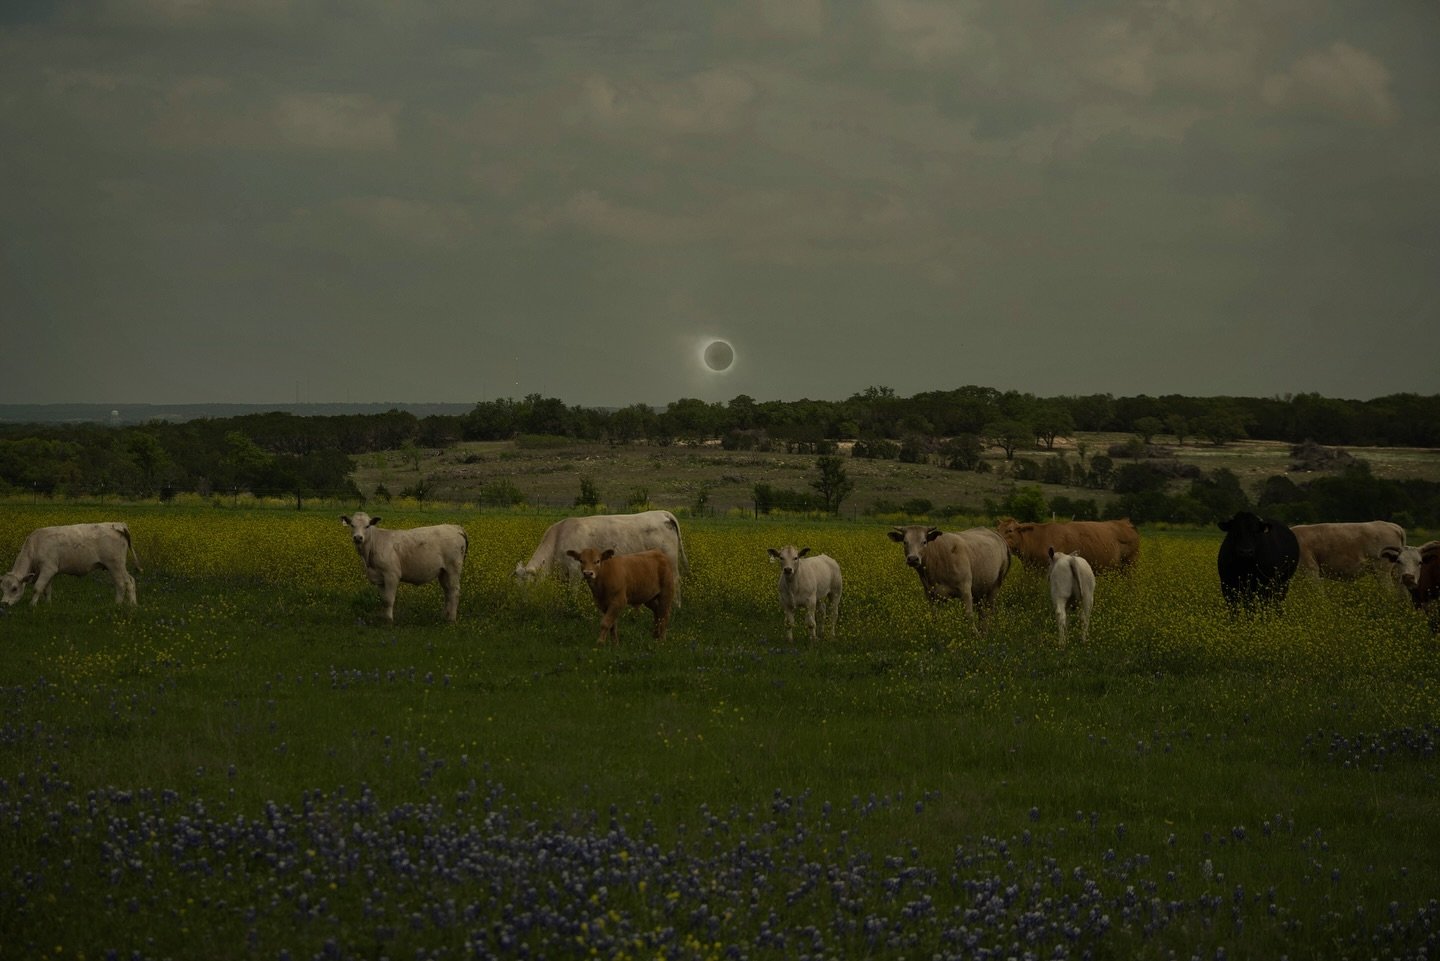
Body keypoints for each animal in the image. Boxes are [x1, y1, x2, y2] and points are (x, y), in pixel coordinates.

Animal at [0, 521, 140, 605]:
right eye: (2, 588)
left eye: (14, 588)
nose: (4, 603)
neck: (35, 545)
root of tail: (117, 525)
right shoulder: (50, 571)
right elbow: (47, 589)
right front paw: (48, 605)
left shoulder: (48, 568)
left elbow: (37, 588)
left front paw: (32, 605)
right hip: (118, 566)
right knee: (130, 580)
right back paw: (132, 605)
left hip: (115, 565)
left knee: (123, 584)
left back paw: (118, 605)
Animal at [339, 510, 469, 625]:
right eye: (352, 525)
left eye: (367, 526)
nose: (358, 537)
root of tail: (455, 527)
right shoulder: (379, 578)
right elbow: (383, 599)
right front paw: (384, 618)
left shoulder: (391, 574)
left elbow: (389, 599)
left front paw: (389, 620)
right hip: (443, 572)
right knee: (447, 592)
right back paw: (444, 616)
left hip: (453, 568)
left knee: (454, 592)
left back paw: (451, 619)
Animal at [515, 510, 688, 602]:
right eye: (518, 587)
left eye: (530, 585)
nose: (524, 603)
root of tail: (662, 513)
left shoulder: (575, 571)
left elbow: (572, 593)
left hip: (671, 559)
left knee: (675, 580)